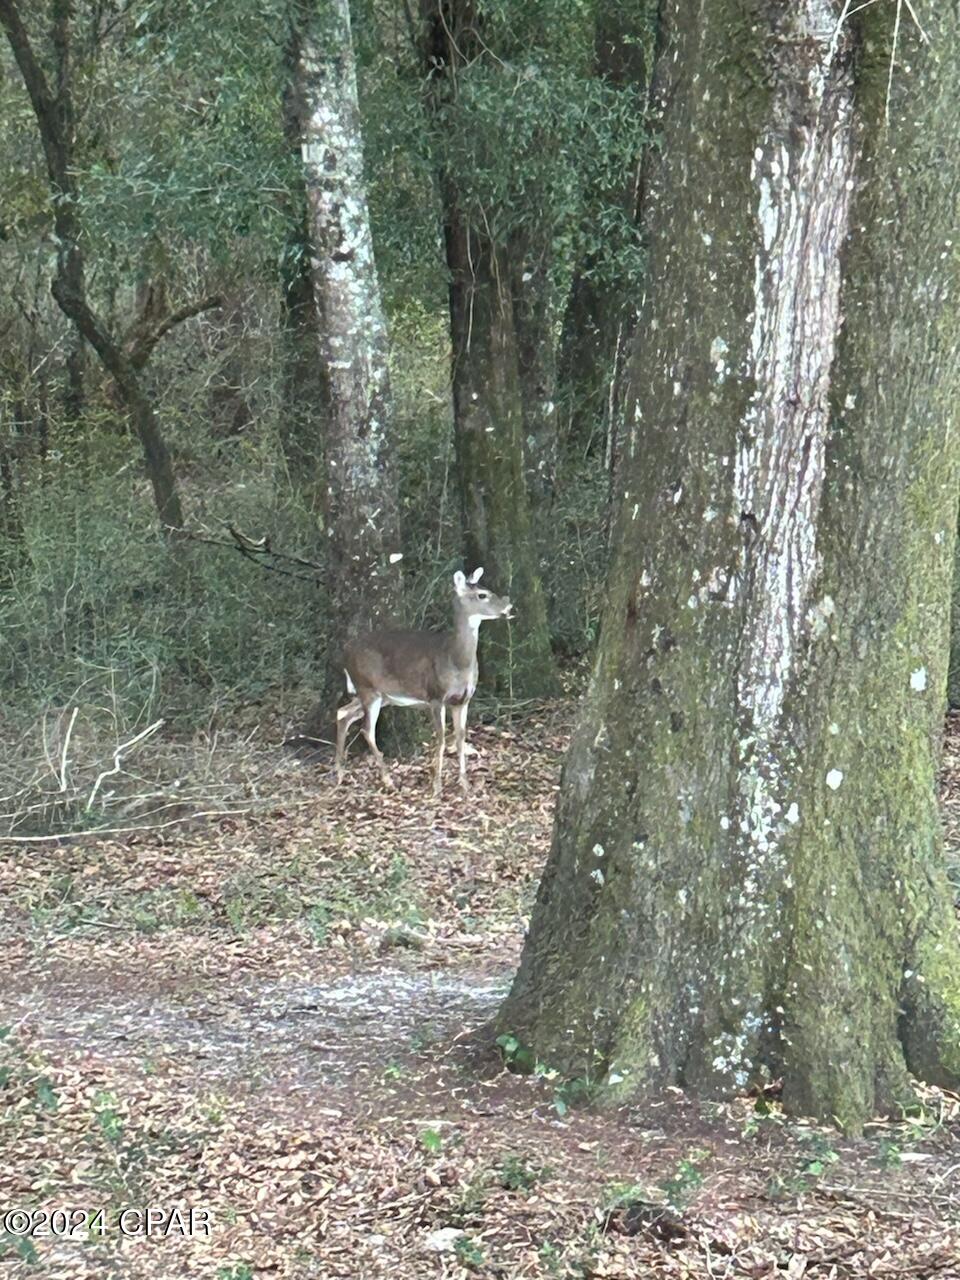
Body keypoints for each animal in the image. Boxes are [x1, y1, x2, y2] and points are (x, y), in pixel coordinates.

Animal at [335, 568, 512, 793]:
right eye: (482, 595)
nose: (508, 606)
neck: (457, 661)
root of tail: (345, 652)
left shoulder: (463, 700)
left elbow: (461, 737)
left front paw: (465, 784)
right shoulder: (436, 696)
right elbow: (442, 739)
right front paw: (436, 786)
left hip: (379, 695)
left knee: (343, 714)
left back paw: (339, 773)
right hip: (368, 688)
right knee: (367, 730)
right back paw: (387, 779)